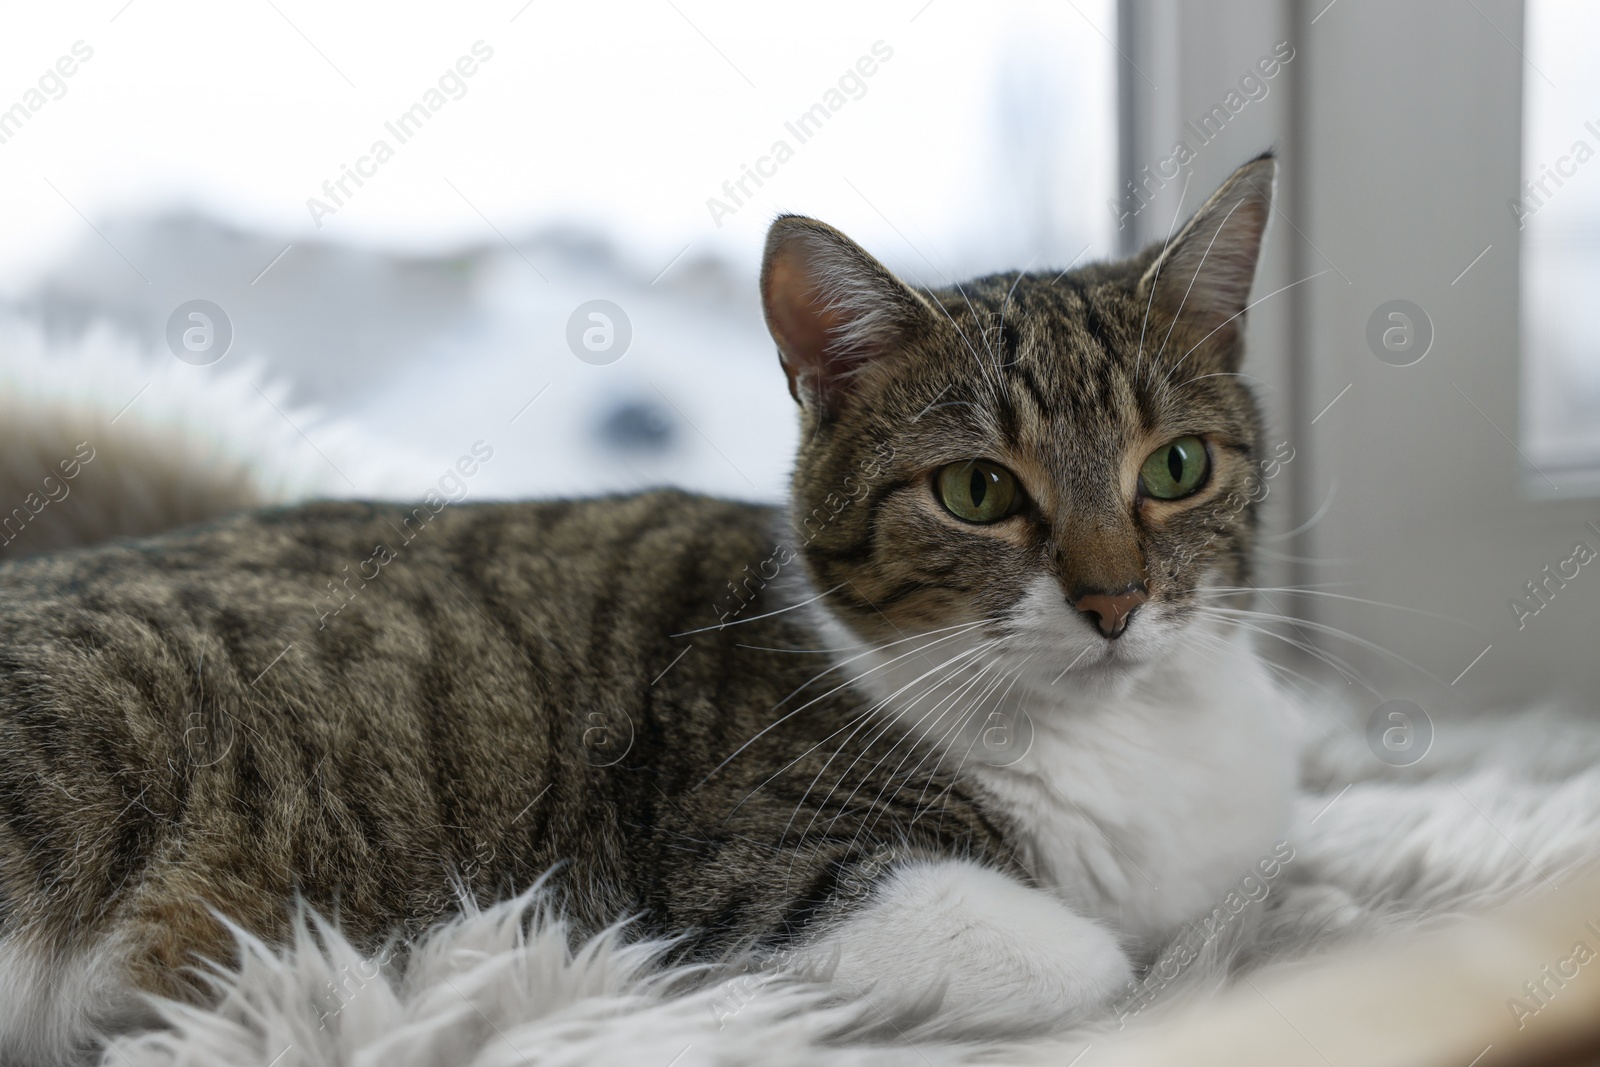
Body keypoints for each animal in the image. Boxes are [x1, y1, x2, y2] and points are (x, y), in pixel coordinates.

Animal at [0, 154, 1299, 1062]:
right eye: (977, 491)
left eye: (1176, 467)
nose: (1113, 600)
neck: (1120, 744)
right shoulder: (745, 875)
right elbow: (1095, 963)